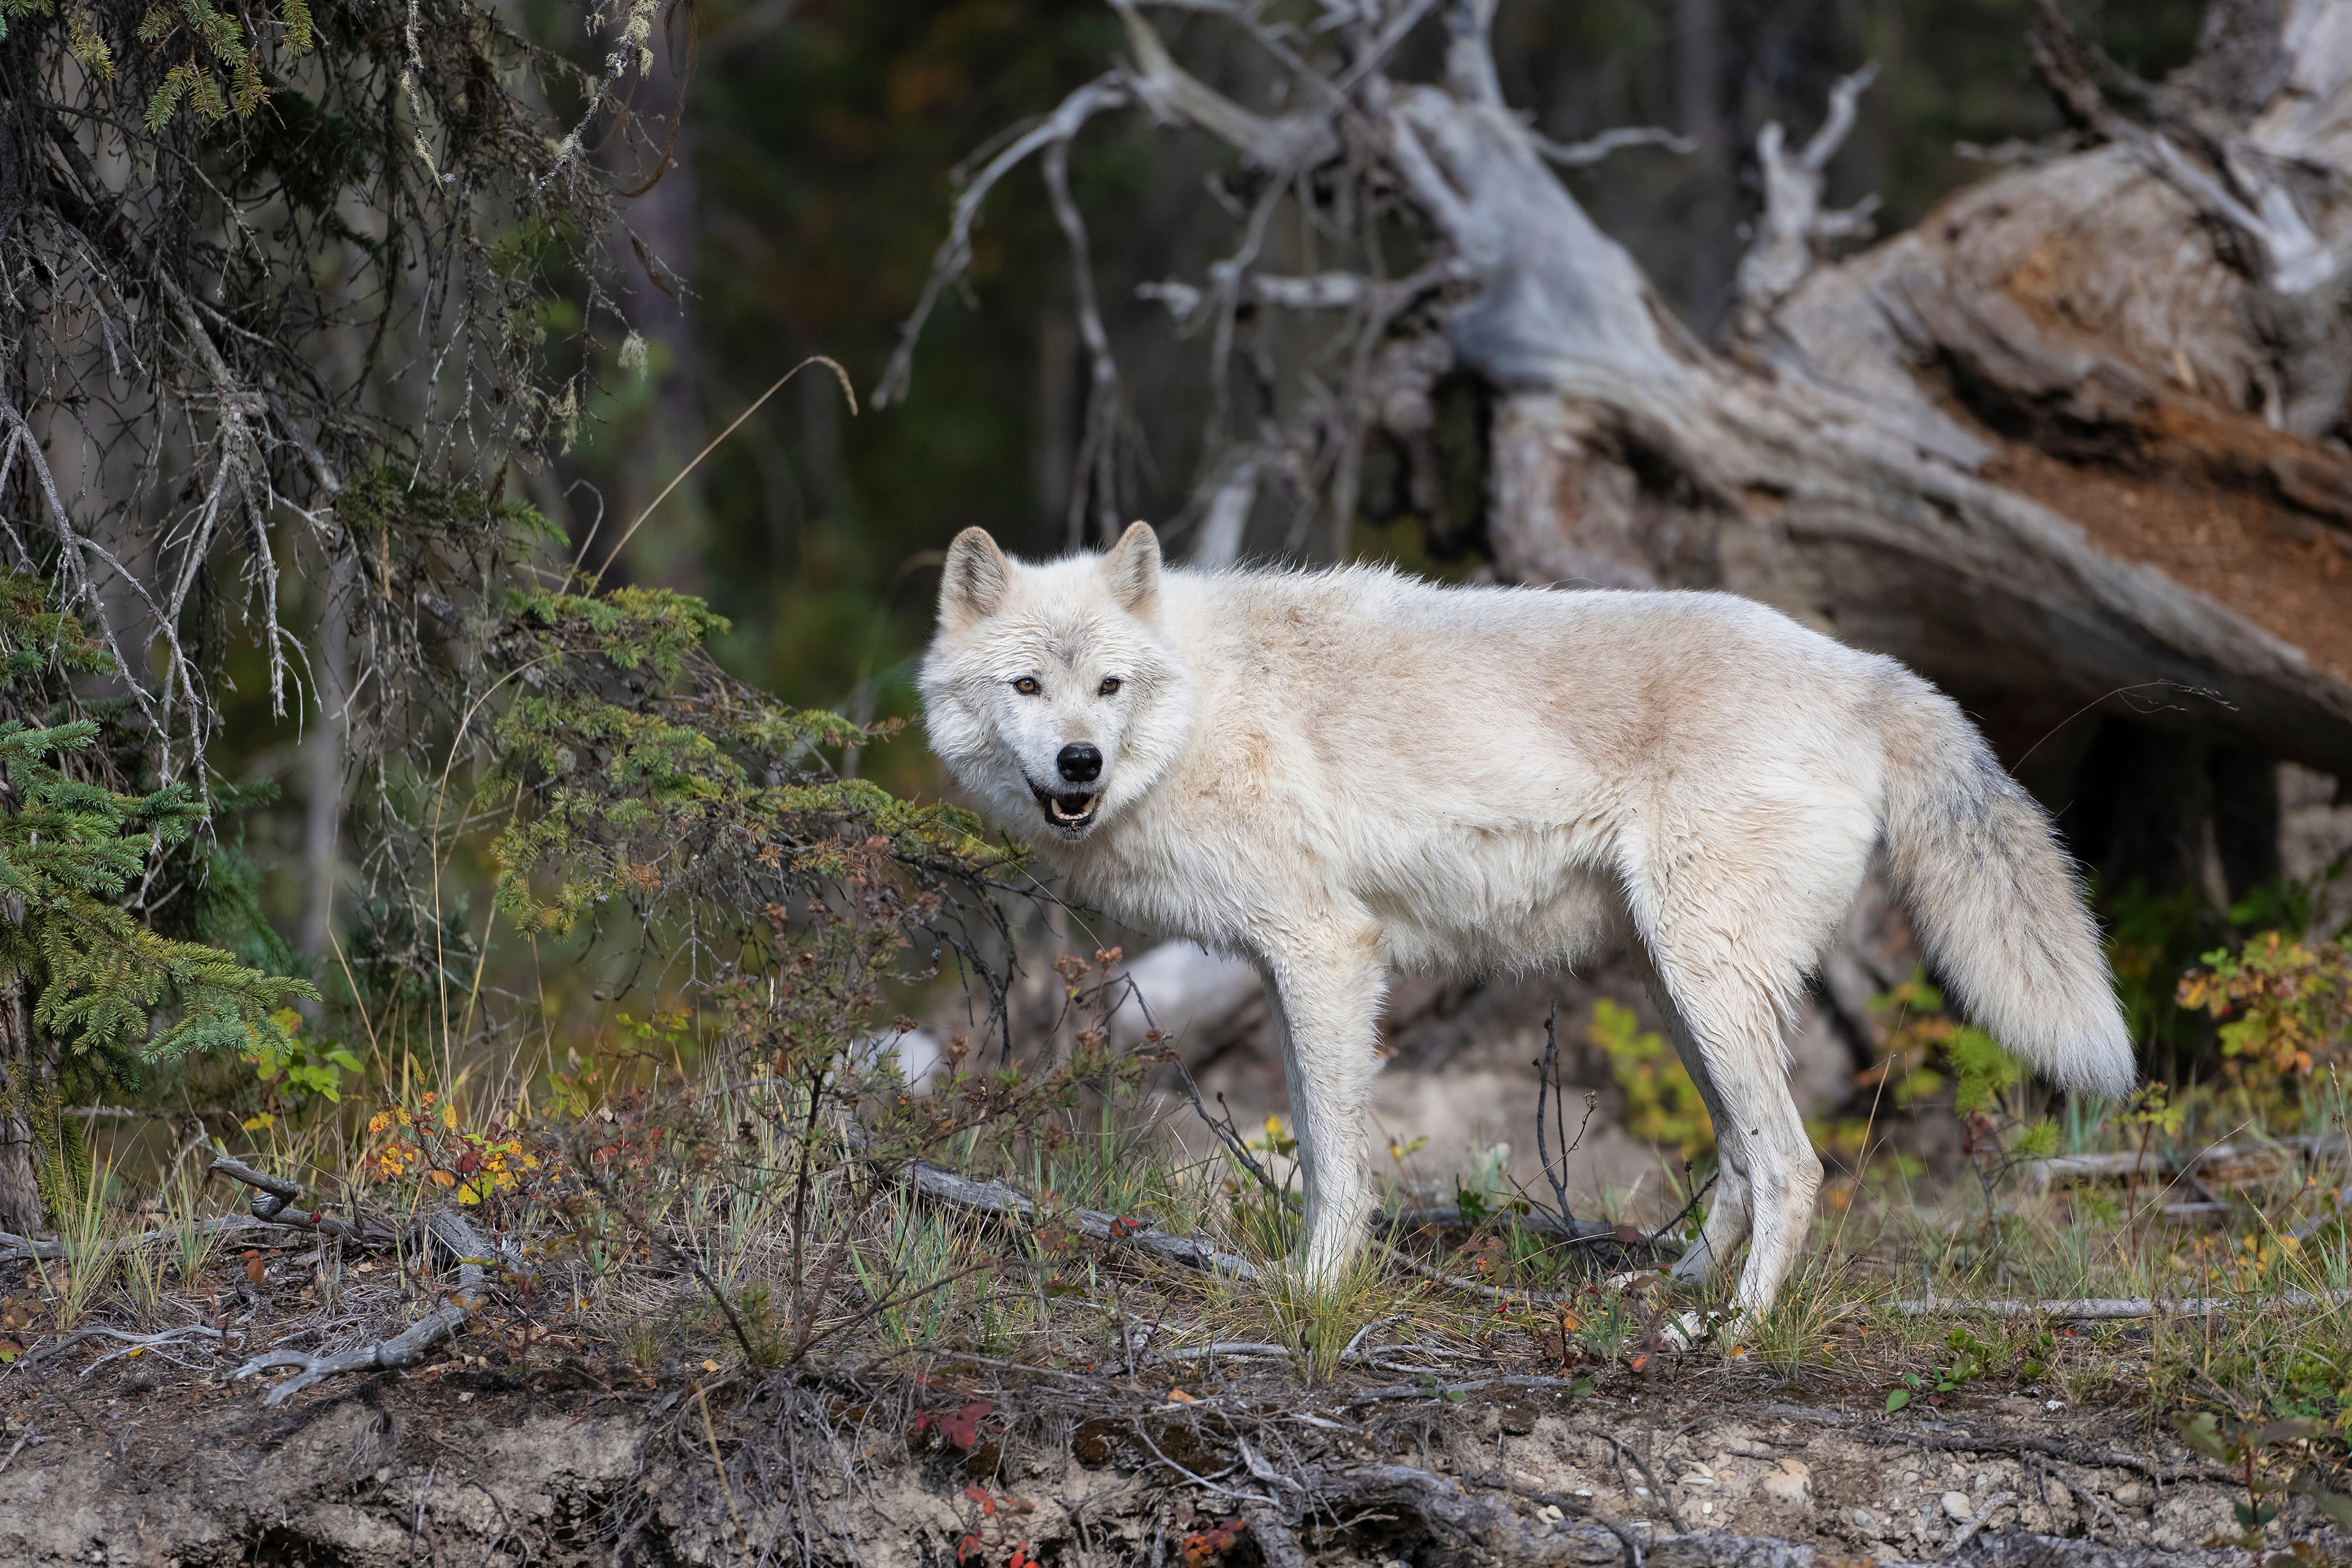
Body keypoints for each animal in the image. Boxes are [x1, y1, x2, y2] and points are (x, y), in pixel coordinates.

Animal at [918, 521, 2134, 1317]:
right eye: (1028, 688)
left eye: (1109, 688)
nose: (1080, 763)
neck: (1206, 711)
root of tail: (1867, 671)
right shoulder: (1288, 967)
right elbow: (1317, 1138)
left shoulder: (1327, 954)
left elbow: (1334, 1161)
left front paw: (1317, 1293)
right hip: (1676, 988)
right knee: (1741, 1160)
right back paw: (1666, 1289)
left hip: (1706, 982)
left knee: (1794, 1167)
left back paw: (1733, 1331)